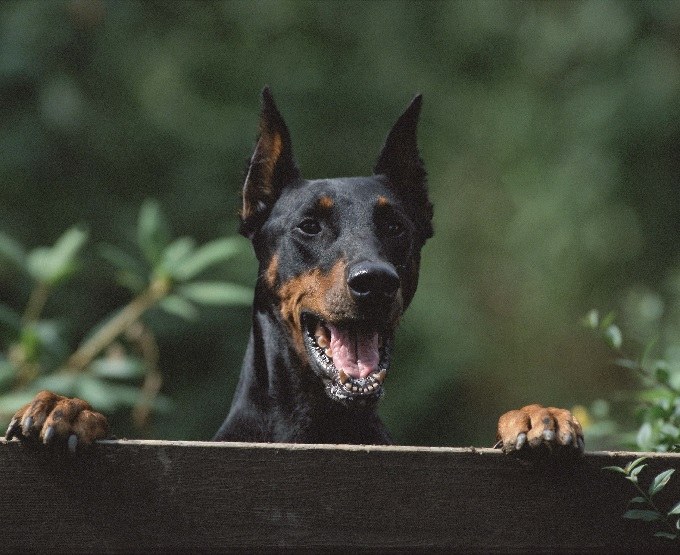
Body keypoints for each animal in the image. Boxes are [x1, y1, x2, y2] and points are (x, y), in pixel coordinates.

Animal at [2, 90, 580, 456]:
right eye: (308, 225)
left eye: (396, 225)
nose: (375, 282)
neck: (315, 424)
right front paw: (67, 410)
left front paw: (536, 417)